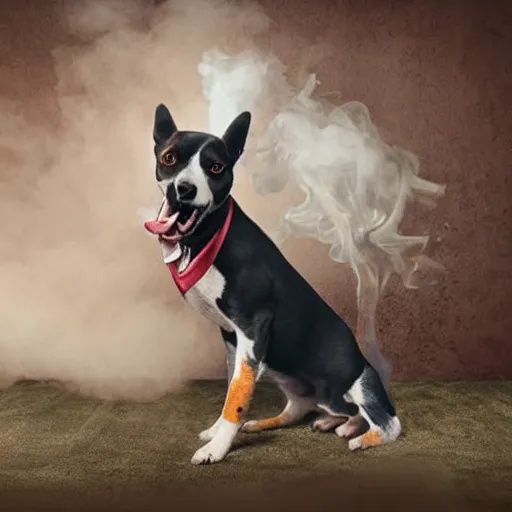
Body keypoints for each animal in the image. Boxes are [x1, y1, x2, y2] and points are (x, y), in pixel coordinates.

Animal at [143, 104, 400, 464]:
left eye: (215, 167)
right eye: (169, 158)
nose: (184, 189)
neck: (209, 236)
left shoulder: (252, 331)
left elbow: (236, 398)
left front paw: (216, 449)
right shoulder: (232, 338)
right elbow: (234, 389)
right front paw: (218, 432)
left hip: (360, 381)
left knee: (388, 423)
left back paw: (361, 437)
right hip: (297, 385)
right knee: (301, 411)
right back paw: (312, 423)